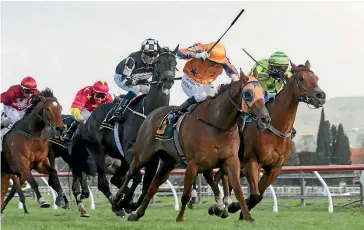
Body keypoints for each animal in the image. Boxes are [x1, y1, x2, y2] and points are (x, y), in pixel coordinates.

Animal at [0, 88, 68, 216]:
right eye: (48, 109)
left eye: (60, 108)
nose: (60, 129)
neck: (32, 135)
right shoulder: (22, 164)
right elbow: (33, 182)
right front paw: (43, 201)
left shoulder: (39, 164)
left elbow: (53, 173)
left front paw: (61, 199)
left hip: (6, 173)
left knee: (6, 191)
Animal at [68, 44, 179, 217]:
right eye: (159, 62)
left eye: (175, 63)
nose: (167, 81)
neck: (149, 112)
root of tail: (85, 123)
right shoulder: (129, 151)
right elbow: (138, 178)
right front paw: (126, 202)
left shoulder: (153, 158)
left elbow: (147, 185)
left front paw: (131, 204)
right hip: (98, 152)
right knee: (103, 183)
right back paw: (116, 204)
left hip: (119, 158)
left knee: (116, 179)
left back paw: (120, 203)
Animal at [118, 67, 272, 222]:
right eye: (248, 94)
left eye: (263, 92)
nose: (265, 119)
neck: (217, 125)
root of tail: (151, 114)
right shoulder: (193, 164)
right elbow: (186, 195)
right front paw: (180, 218)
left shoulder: (230, 161)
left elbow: (238, 190)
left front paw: (247, 217)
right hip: (144, 154)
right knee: (131, 171)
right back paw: (118, 200)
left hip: (169, 161)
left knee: (153, 186)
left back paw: (137, 213)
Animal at [216, 60, 328, 213]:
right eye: (301, 78)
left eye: (316, 78)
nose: (320, 96)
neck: (276, 127)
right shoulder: (252, 162)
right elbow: (255, 194)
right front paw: (234, 206)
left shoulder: (274, 168)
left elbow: (259, 196)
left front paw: (238, 210)